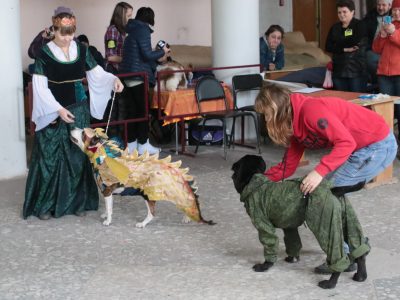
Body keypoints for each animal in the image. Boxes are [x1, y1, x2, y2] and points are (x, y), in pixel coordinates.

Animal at [231, 155, 368, 288]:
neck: (253, 178)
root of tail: (332, 189)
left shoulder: (264, 227)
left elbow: (270, 246)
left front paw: (265, 265)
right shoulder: (289, 227)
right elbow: (293, 242)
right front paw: (292, 258)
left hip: (326, 225)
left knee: (338, 258)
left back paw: (330, 283)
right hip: (346, 221)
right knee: (360, 250)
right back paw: (361, 276)